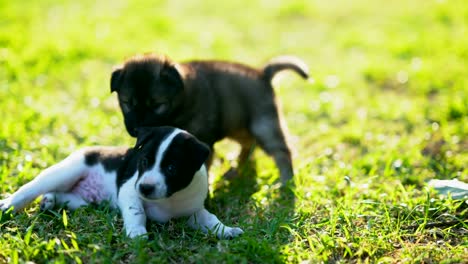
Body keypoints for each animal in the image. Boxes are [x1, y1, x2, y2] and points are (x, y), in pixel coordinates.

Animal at [1, 126, 245, 239]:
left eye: (171, 169)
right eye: (144, 161)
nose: (146, 187)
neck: (170, 199)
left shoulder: (193, 211)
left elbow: (211, 219)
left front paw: (226, 230)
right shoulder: (130, 190)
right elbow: (137, 212)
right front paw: (137, 234)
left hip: (82, 201)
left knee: (61, 195)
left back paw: (49, 201)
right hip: (65, 172)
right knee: (31, 188)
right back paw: (8, 204)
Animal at [109, 52, 308, 183]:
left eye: (157, 105)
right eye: (127, 103)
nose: (137, 128)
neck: (183, 98)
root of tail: (263, 74)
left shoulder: (202, 143)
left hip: (263, 125)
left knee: (281, 151)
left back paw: (286, 182)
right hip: (238, 125)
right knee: (249, 144)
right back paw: (236, 170)